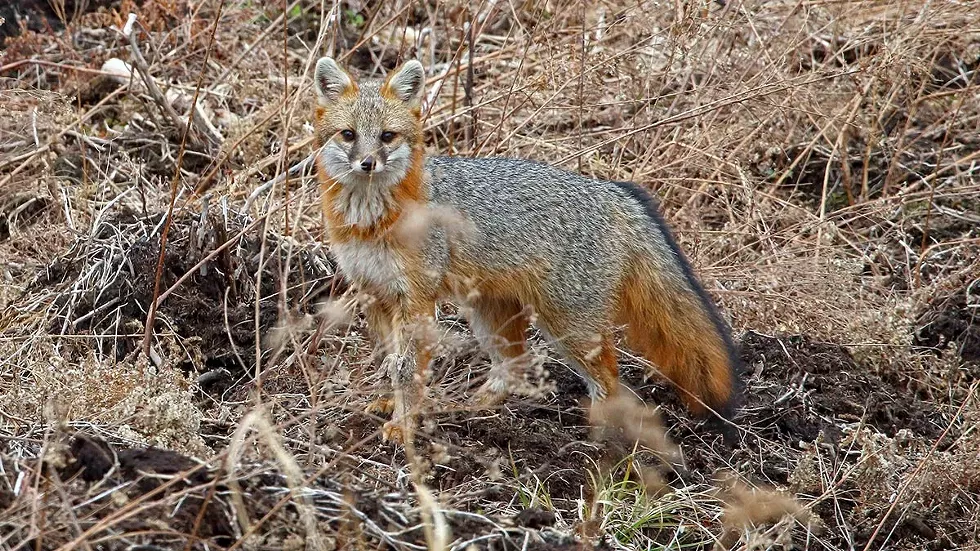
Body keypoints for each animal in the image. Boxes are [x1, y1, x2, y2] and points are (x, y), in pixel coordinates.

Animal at [311, 56, 742, 444]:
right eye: (348, 134)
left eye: (387, 136)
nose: (368, 163)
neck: (369, 222)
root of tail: (612, 190)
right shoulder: (375, 292)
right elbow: (391, 361)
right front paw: (392, 406)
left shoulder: (414, 300)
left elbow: (406, 368)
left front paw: (404, 426)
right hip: (491, 317)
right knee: (515, 365)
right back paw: (475, 406)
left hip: (569, 326)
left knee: (608, 376)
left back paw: (600, 437)